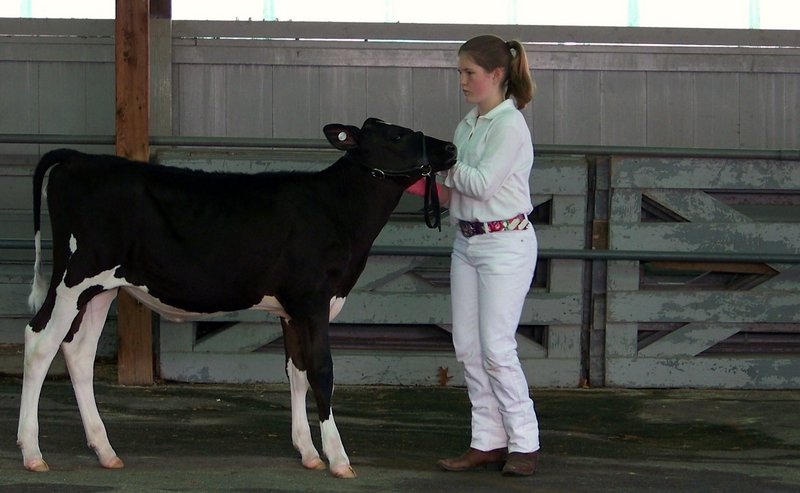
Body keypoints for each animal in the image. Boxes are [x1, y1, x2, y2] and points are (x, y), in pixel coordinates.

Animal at [15, 118, 456, 476]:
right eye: (397, 135)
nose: (450, 148)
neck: (336, 210)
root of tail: (79, 158)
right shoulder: (313, 301)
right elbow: (322, 372)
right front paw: (338, 457)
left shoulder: (291, 310)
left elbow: (296, 371)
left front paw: (308, 452)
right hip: (73, 276)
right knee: (40, 342)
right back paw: (32, 452)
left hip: (103, 288)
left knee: (78, 352)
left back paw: (105, 450)